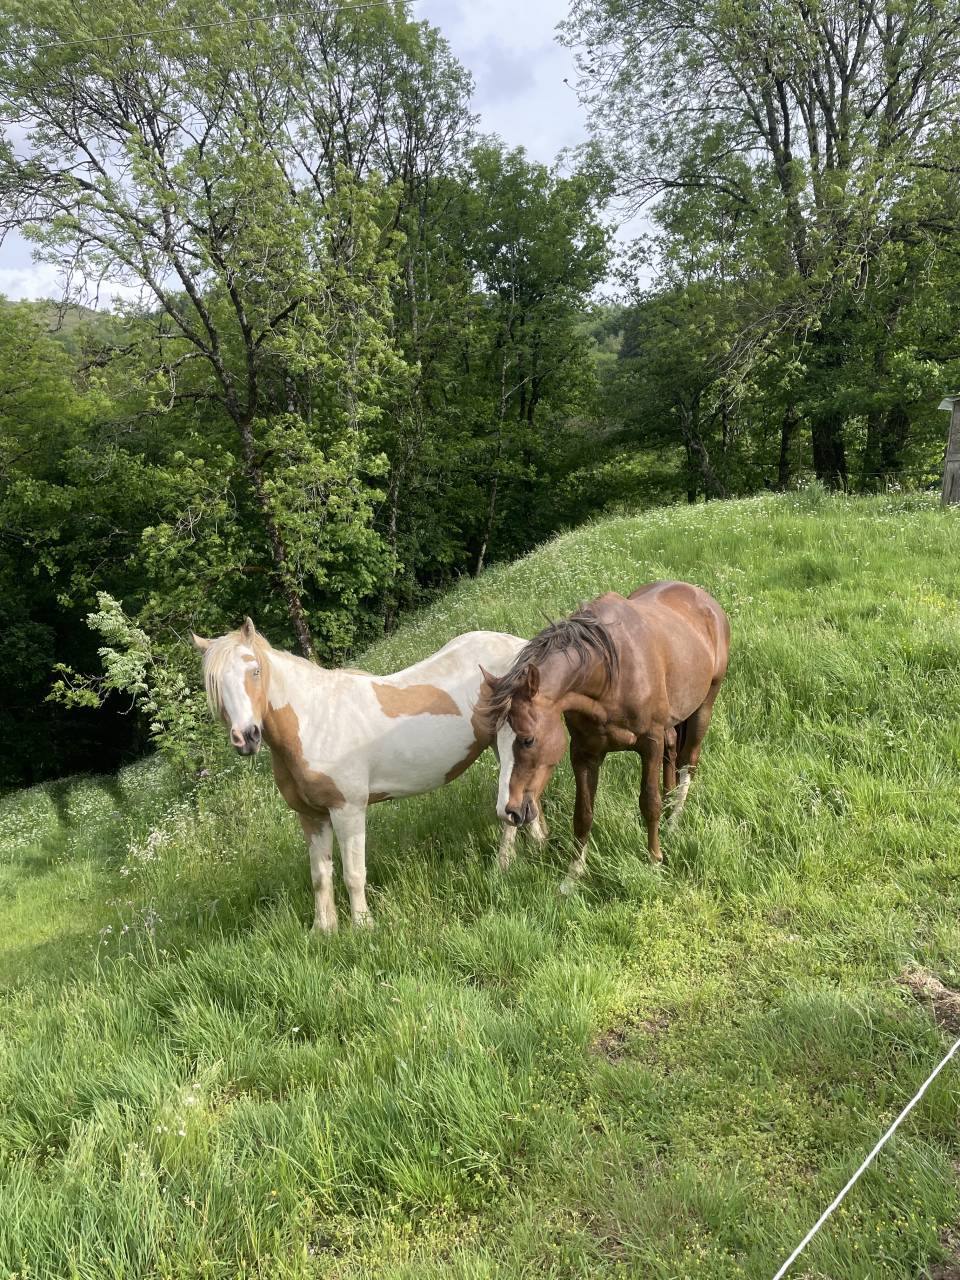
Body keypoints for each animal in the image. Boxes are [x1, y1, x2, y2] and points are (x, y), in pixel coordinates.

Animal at [191, 618, 541, 931]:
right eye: (215, 685)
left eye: (255, 671)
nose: (246, 737)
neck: (314, 721)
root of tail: (518, 646)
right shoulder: (311, 816)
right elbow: (320, 877)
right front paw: (323, 930)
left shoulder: (347, 810)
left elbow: (353, 874)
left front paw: (362, 927)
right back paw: (538, 847)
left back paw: (504, 866)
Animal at [480, 582, 729, 890]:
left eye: (528, 739)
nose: (508, 811)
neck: (609, 676)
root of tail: (701, 596)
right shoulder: (585, 754)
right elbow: (583, 814)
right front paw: (572, 878)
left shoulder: (650, 742)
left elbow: (650, 803)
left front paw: (654, 861)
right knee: (672, 750)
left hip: (704, 705)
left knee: (688, 761)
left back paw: (674, 820)